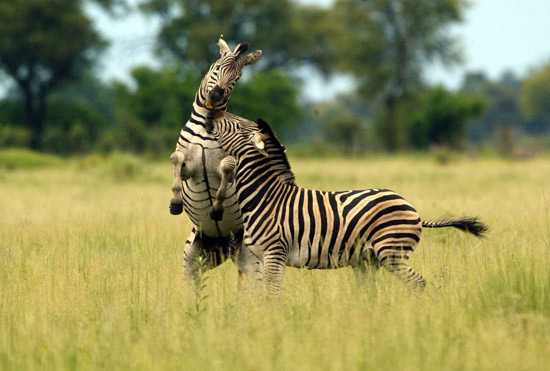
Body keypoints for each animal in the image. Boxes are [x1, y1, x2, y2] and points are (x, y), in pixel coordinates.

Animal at [168, 37, 264, 282]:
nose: (217, 95)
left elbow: (227, 168)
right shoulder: (188, 168)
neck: (207, 123)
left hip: (250, 256)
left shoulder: (233, 162)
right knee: (192, 281)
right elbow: (177, 159)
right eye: (217, 69)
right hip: (195, 254)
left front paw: (218, 206)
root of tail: (224, 243)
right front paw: (175, 202)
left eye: (236, 78)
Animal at [213, 117, 490, 294]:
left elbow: (272, 294)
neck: (265, 196)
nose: (214, 111)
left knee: (418, 284)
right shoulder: (261, 257)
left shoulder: (275, 253)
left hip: (392, 253)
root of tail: (413, 208)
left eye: (235, 125)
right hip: (369, 260)